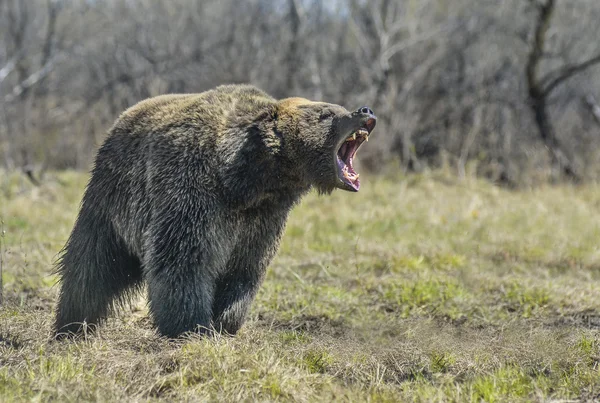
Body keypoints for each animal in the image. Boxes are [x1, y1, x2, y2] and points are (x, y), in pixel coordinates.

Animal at [55, 86, 376, 340]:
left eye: (337, 108)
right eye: (326, 113)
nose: (365, 110)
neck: (248, 181)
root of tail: (123, 116)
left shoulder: (263, 219)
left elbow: (244, 269)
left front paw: (226, 321)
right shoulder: (194, 192)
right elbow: (183, 260)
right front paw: (191, 326)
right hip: (113, 199)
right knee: (90, 264)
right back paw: (70, 325)